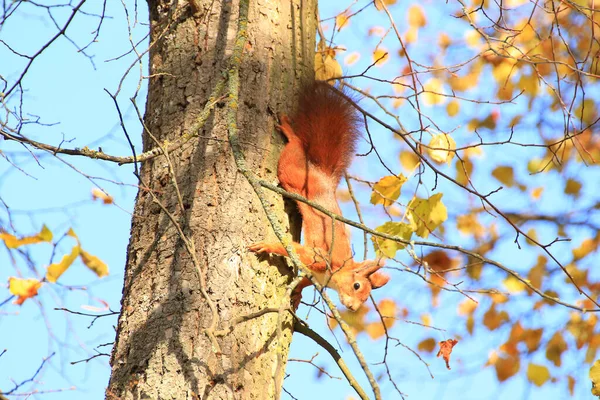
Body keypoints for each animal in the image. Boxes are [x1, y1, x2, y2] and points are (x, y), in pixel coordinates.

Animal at [247, 82, 390, 312]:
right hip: (293, 173)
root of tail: (324, 177)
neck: (335, 276)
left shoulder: (318, 274)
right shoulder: (321, 259)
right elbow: (294, 250)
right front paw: (269, 246)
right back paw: (290, 132)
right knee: (295, 148)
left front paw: (297, 293)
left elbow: (305, 280)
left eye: (367, 298)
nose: (353, 308)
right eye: (357, 285)